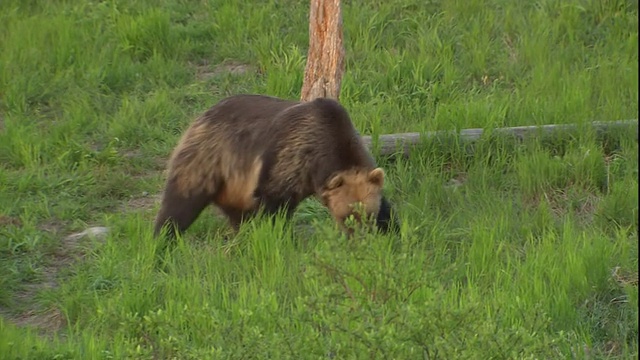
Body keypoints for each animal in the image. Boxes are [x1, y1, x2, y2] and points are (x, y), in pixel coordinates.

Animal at [153, 94, 398, 238]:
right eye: (348, 215)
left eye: (368, 214)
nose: (362, 236)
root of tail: (203, 114)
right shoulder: (288, 159)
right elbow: (274, 205)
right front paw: (277, 236)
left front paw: (390, 230)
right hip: (209, 158)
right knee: (181, 202)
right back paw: (163, 237)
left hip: (233, 184)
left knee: (236, 212)